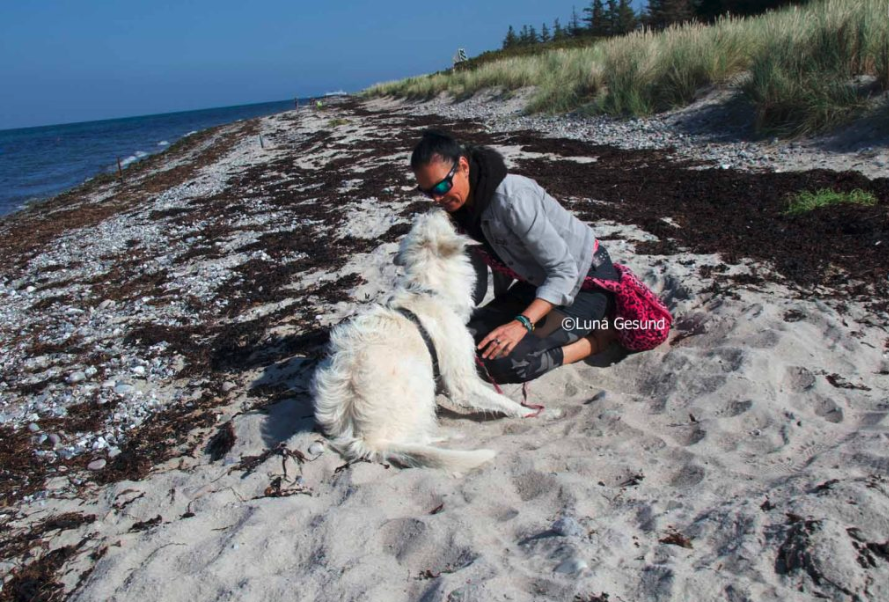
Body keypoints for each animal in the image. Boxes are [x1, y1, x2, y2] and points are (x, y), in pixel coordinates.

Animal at [312, 209, 536, 472]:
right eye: (435, 220)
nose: (434, 208)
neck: (427, 290)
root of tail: (367, 440)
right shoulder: (461, 379)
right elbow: (496, 398)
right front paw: (528, 411)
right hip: (418, 384)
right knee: (420, 439)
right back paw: (448, 436)